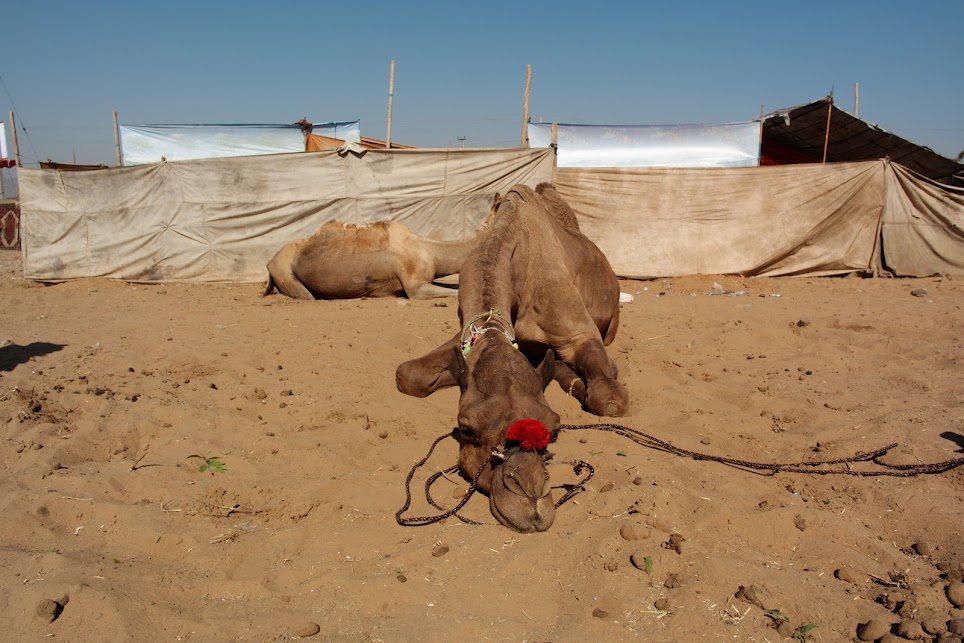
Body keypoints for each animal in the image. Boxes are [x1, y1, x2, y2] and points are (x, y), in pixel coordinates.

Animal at [396, 182, 628, 532]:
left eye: (555, 429)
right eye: (466, 428)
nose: (529, 499)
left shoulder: (578, 333)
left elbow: (609, 398)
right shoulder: (468, 334)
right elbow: (408, 374)